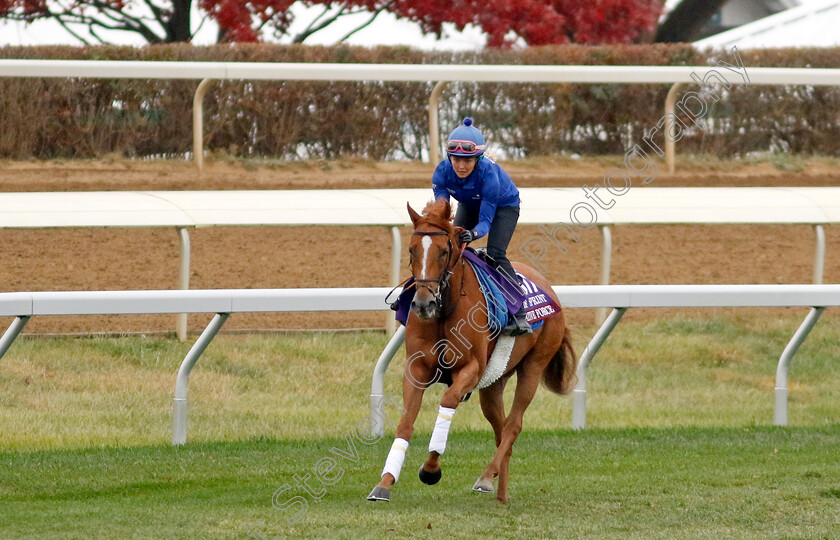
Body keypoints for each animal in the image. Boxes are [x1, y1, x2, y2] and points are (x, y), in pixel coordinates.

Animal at [368, 199, 576, 506]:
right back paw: (499, 492)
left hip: (534, 366)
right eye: (411, 250)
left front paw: (431, 469)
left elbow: (448, 399)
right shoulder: (416, 369)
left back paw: (486, 476)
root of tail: (550, 288)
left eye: (443, 251)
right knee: (501, 430)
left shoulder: (471, 369)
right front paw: (384, 482)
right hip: (494, 381)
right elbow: (406, 422)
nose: (423, 304)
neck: (445, 309)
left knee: (513, 425)